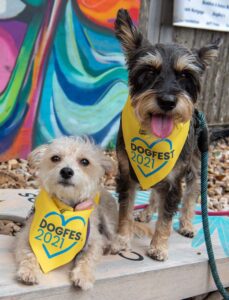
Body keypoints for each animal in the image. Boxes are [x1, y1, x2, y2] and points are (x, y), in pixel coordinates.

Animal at [15, 137, 152, 290]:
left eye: (85, 161)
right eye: (55, 158)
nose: (66, 171)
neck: (67, 207)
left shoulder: (94, 240)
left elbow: (88, 258)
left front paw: (83, 276)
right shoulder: (25, 236)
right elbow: (29, 254)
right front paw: (29, 271)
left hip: (108, 218)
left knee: (115, 235)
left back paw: (115, 246)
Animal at [112, 8, 221, 260]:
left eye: (185, 76)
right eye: (149, 71)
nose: (167, 102)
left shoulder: (175, 180)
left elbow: (166, 217)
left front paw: (159, 246)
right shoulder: (126, 176)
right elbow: (125, 211)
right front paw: (121, 240)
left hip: (196, 167)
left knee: (191, 196)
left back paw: (187, 225)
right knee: (155, 193)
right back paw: (146, 213)